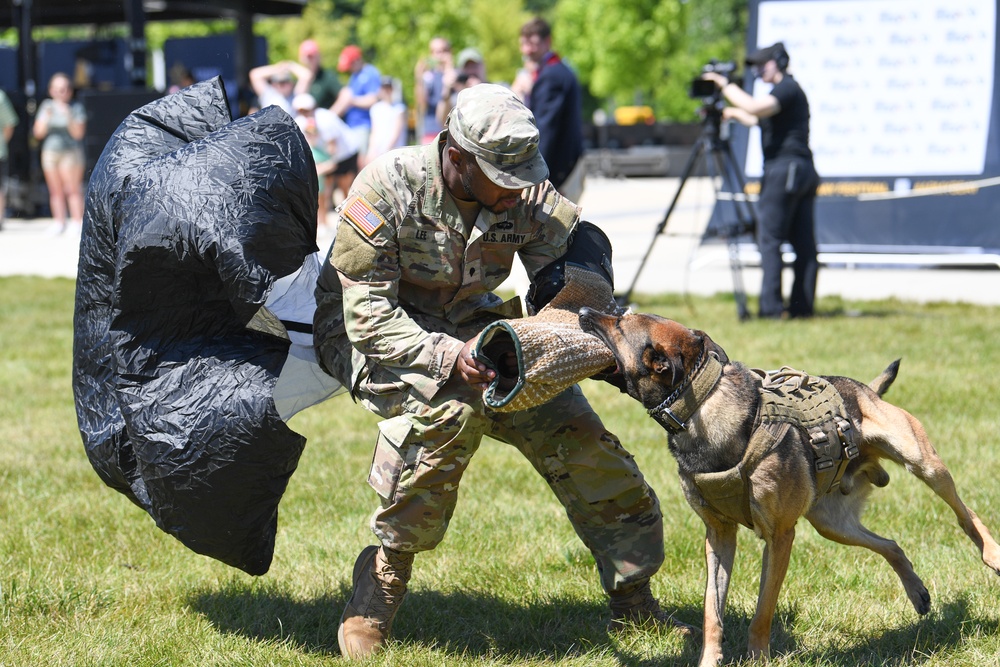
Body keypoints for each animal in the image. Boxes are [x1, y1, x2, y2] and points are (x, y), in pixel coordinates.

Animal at [580, 310, 1000, 667]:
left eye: (620, 323)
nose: (583, 312)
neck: (701, 403)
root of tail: (866, 390)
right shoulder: (718, 536)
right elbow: (712, 613)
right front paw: (709, 660)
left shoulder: (780, 536)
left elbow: (762, 611)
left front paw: (757, 658)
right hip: (832, 524)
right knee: (891, 545)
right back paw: (917, 592)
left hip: (923, 462)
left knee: (965, 514)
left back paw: (991, 554)